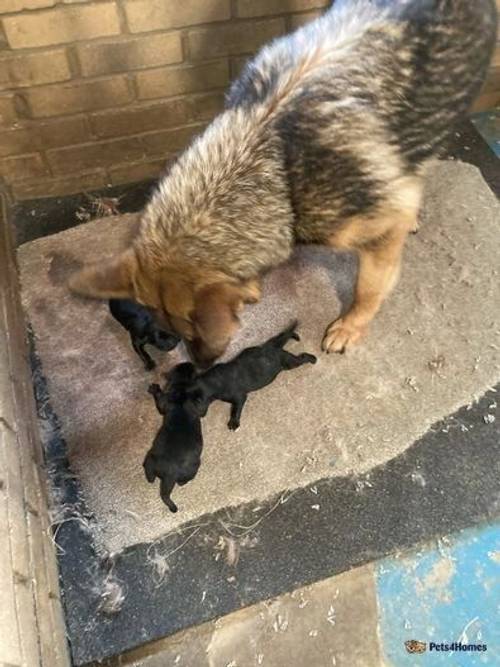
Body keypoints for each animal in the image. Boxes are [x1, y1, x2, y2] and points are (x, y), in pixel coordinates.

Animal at [142, 362, 202, 516]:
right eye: (189, 367)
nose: (190, 362)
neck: (181, 389)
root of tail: (170, 473)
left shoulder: (165, 401)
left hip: (151, 459)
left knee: (151, 477)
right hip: (193, 466)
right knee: (181, 481)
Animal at [184, 320, 316, 430]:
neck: (212, 382)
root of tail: (271, 348)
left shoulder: (239, 397)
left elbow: (236, 410)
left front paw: (234, 423)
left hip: (289, 362)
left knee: (302, 357)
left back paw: (313, 359)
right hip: (272, 345)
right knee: (284, 334)